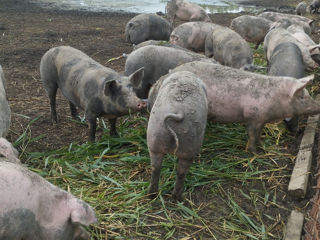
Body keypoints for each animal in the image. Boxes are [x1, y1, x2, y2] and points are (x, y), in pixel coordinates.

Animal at [148, 71, 208, 201]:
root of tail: (178, 113)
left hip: (155, 138)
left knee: (156, 168)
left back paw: (154, 195)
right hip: (190, 147)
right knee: (181, 173)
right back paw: (178, 198)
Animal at [168, 61, 320, 153]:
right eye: (302, 97)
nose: (318, 106)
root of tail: (170, 73)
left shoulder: (261, 120)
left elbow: (258, 135)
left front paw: (262, 145)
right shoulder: (253, 116)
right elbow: (252, 135)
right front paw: (255, 152)